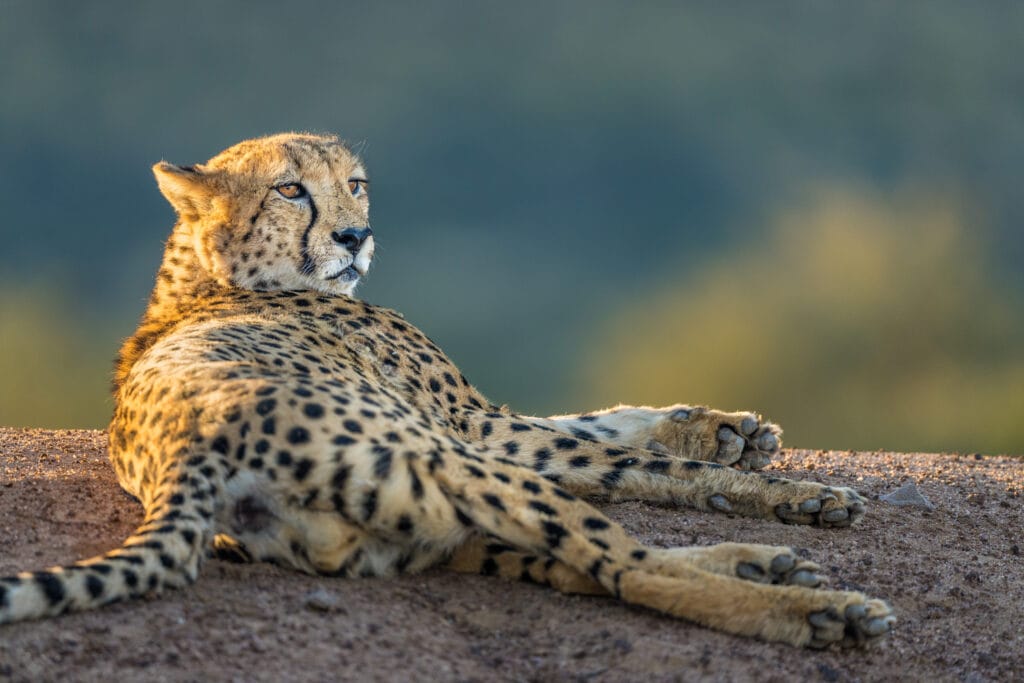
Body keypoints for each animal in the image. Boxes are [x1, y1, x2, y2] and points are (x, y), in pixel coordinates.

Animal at [0, 132, 897, 647]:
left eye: (356, 183)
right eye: (290, 189)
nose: (355, 234)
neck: (207, 278)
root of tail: (187, 453)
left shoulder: (480, 422)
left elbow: (606, 426)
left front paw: (727, 429)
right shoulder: (478, 428)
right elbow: (629, 460)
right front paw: (803, 493)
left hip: (418, 523)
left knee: (576, 561)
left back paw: (764, 565)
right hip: (454, 467)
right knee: (626, 566)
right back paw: (818, 609)